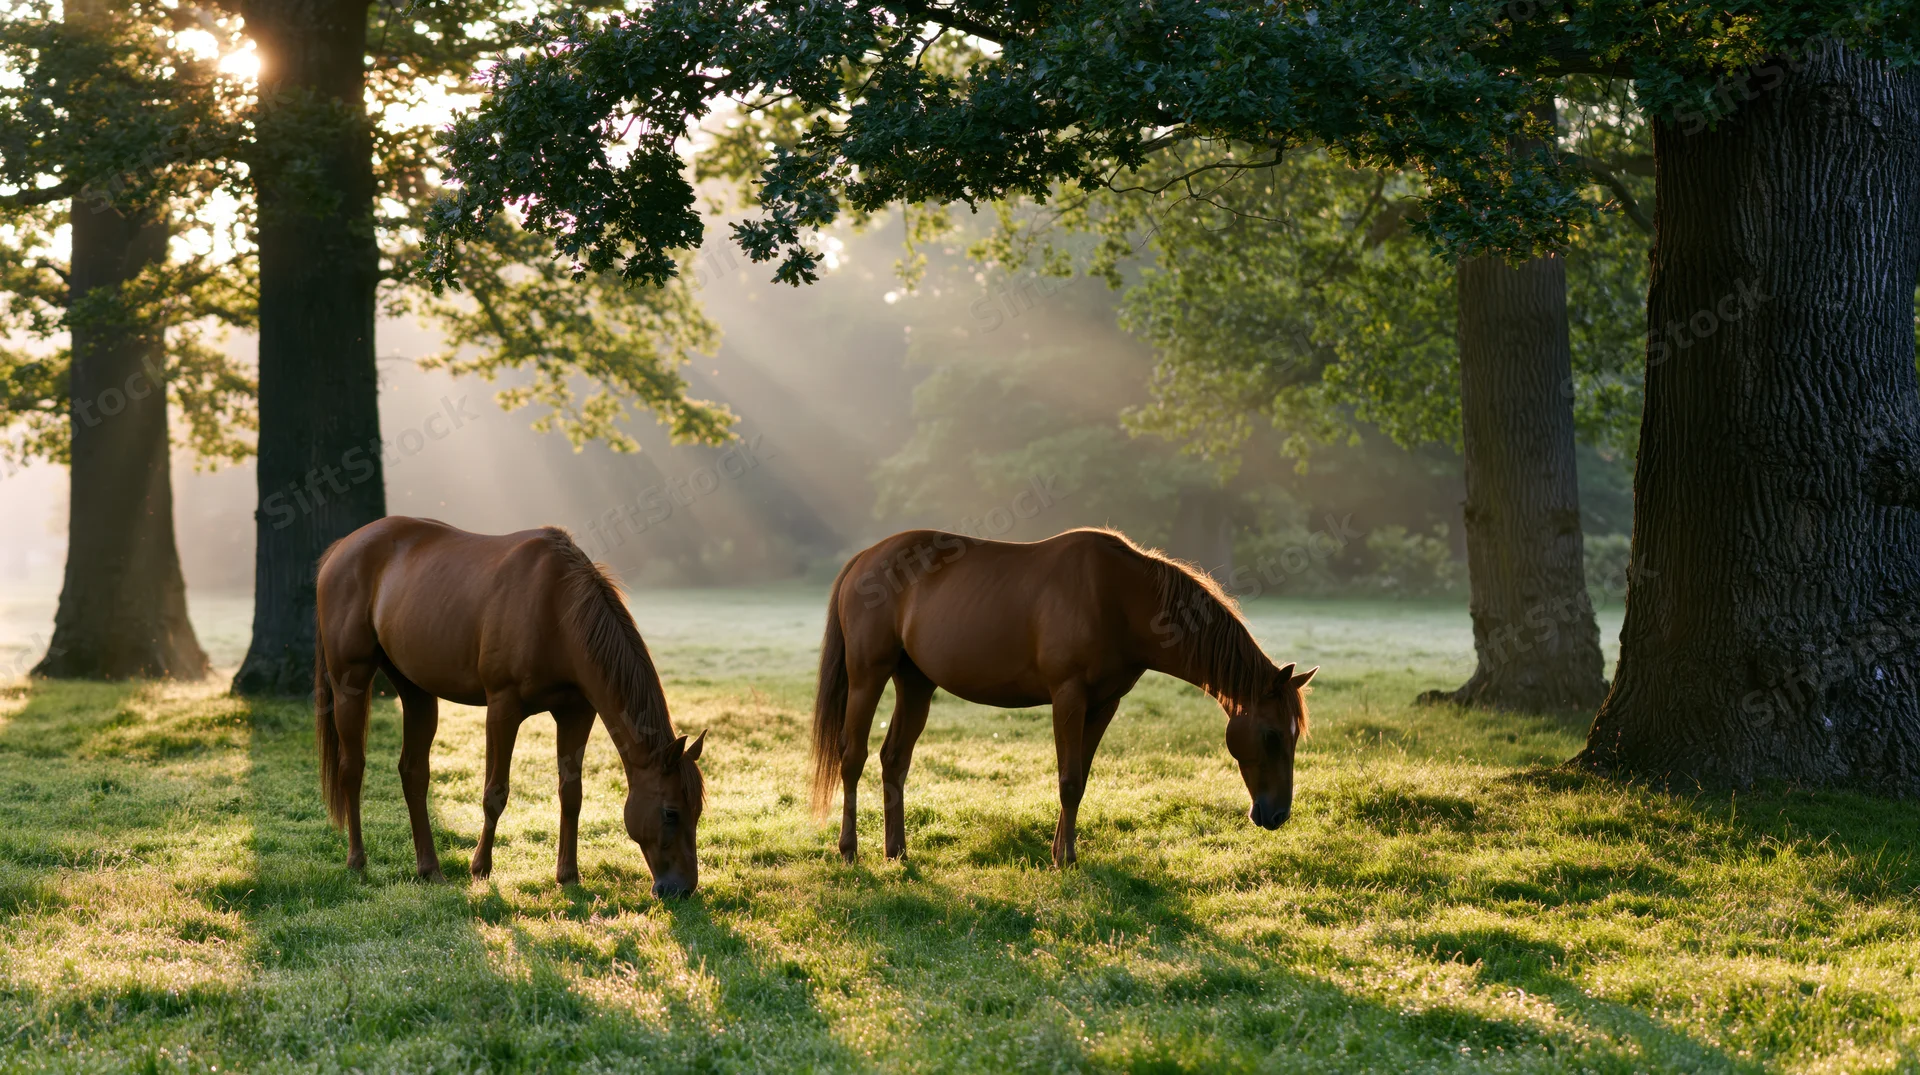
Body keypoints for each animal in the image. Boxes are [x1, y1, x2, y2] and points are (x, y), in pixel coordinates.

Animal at [313, 516, 705, 896]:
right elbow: (495, 793)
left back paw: (430, 869)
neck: (556, 606)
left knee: (414, 773)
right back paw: (357, 861)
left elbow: (571, 794)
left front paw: (568, 875)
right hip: (351, 680)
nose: (683, 889)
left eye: (697, 810)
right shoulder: (503, 708)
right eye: (671, 813)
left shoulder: (576, 713)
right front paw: (480, 869)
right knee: (352, 769)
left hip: (417, 691)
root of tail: (341, 548)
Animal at [811, 526, 1315, 867]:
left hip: (916, 684)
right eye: (1272, 735)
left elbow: (1081, 779)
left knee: (894, 760)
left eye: (1294, 736)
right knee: (852, 758)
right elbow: (1068, 779)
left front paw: (1063, 851)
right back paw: (849, 850)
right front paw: (1064, 859)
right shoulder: (1069, 697)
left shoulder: (1104, 704)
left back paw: (896, 851)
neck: (1120, 598)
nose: (1277, 814)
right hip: (868, 677)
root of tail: (865, 559)